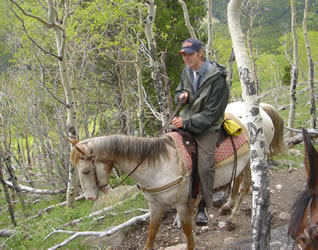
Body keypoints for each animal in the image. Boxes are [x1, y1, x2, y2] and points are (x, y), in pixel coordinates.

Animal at [68, 101, 284, 250]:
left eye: (85, 171)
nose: (90, 198)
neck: (158, 165)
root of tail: (261, 108)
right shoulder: (155, 205)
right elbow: (151, 234)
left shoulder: (182, 204)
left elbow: (188, 234)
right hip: (242, 163)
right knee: (237, 180)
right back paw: (227, 206)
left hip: (255, 159)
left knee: (246, 185)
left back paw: (232, 216)